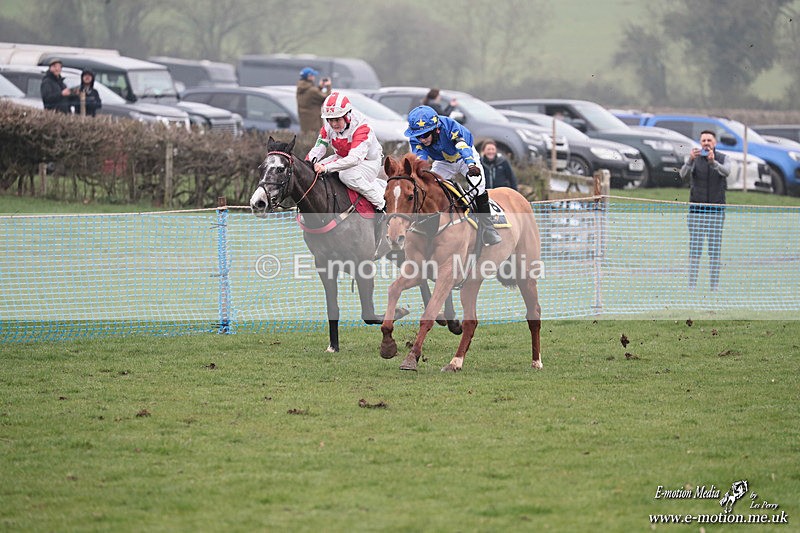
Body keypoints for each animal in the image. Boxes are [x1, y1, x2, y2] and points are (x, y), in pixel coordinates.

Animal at [249, 136, 460, 353]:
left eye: (280, 169)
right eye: (261, 167)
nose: (258, 203)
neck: (327, 210)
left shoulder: (362, 263)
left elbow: (368, 313)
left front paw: (399, 312)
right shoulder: (324, 264)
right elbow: (333, 307)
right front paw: (333, 345)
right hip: (398, 253)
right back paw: (442, 317)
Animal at [379, 153, 542, 372]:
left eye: (410, 196)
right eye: (385, 198)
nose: (394, 237)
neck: (433, 225)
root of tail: (517, 195)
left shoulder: (447, 274)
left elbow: (429, 314)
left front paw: (412, 357)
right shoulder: (417, 270)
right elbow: (394, 289)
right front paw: (387, 343)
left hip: (525, 273)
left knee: (534, 313)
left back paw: (536, 361)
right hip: (472, 281)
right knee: (471, 321)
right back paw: (455, 361)